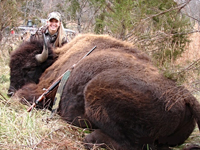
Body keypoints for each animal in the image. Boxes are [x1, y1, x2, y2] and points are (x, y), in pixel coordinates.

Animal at [7, 33, 200, 149]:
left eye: (28, 68)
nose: (9, 92)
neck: (58, 58)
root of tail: (185, 97)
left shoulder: (43, 92)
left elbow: (23, 96)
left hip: (94, 91)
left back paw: (91, 139)